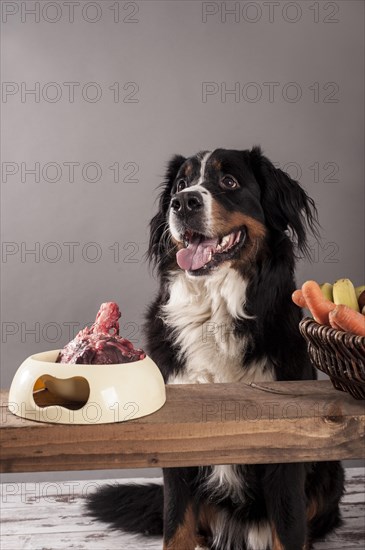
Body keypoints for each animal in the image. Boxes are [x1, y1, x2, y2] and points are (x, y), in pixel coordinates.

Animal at [87, 148, 344, 550]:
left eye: (229, 181)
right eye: (181, 183)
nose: (182, 202)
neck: (215, 310)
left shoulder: (287, 446)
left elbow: (288, 528)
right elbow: (176, 526)